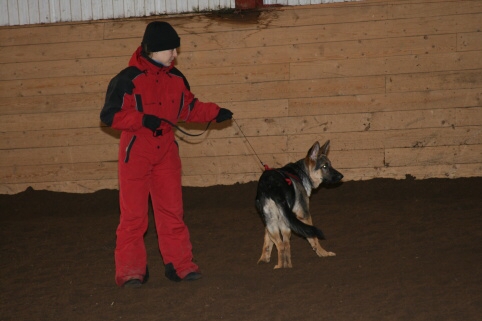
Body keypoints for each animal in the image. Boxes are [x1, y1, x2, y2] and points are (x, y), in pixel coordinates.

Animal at [256, 140, 342, 268]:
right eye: (325, 166)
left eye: (330, 165)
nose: (341, 176)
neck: (302, 173)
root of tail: (271, 187)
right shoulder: (305, 215)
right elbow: (313, 237)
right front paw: (323, 253)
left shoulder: (269, 222)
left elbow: (267, 240)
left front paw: (263, 259)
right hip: (286, 223)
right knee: (285, 244)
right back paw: (288, 267)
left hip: (275, 221)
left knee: (281, 245)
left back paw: (282, 267)